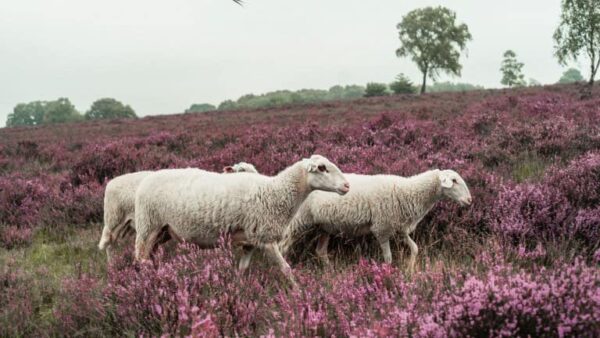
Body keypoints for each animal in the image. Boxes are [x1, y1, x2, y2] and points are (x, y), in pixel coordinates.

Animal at [134, 155, 350, 286]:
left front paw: (238, 291)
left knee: (149, 259)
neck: (276, 192)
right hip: (148, 226)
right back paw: (146, 286)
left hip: (162, 232)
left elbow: (242, 270)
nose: (347, 186)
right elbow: (286, 269)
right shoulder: (266, 239)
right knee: (141, 261)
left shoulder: (250, 242)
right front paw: (298, 291)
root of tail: (145, 180)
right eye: (322, 168)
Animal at [278, 168, 472, 274]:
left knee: (320, 251)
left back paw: (330, 272)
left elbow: (415, 248)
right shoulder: (382, 228)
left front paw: (409, 269)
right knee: (283, 247)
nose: (469, 200)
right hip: (298, 222)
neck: (408, 191)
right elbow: (388, 258)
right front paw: (388, 275)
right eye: (454, 181)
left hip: (323, 227)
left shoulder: (399, 228)